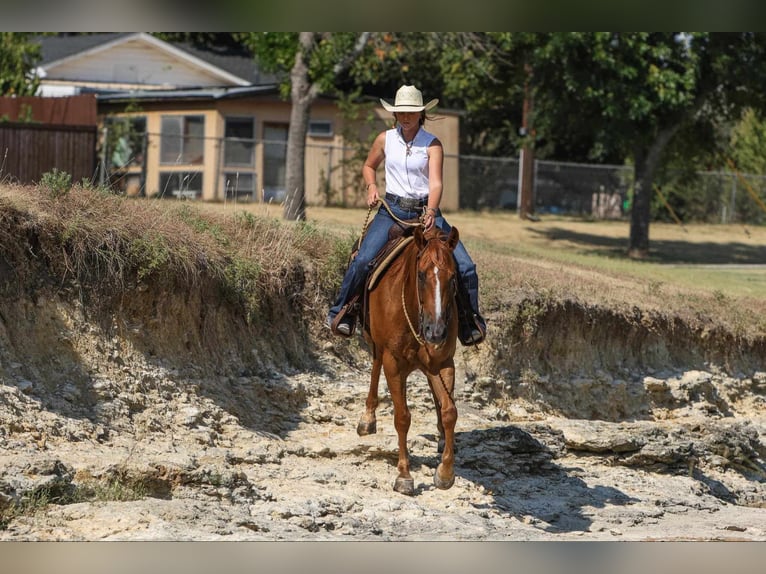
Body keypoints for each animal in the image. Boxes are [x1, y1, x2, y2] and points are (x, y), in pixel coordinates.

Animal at [356, 224, 460, 496]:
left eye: (453, 278)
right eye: (421, 275)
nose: (436, 331)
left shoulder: (443, 362)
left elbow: (450, 411)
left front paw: (445, 473)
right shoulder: (393, 363)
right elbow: (402, 417)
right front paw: (404, 475)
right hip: (377, 343)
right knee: (375, 366)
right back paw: (367, 419)